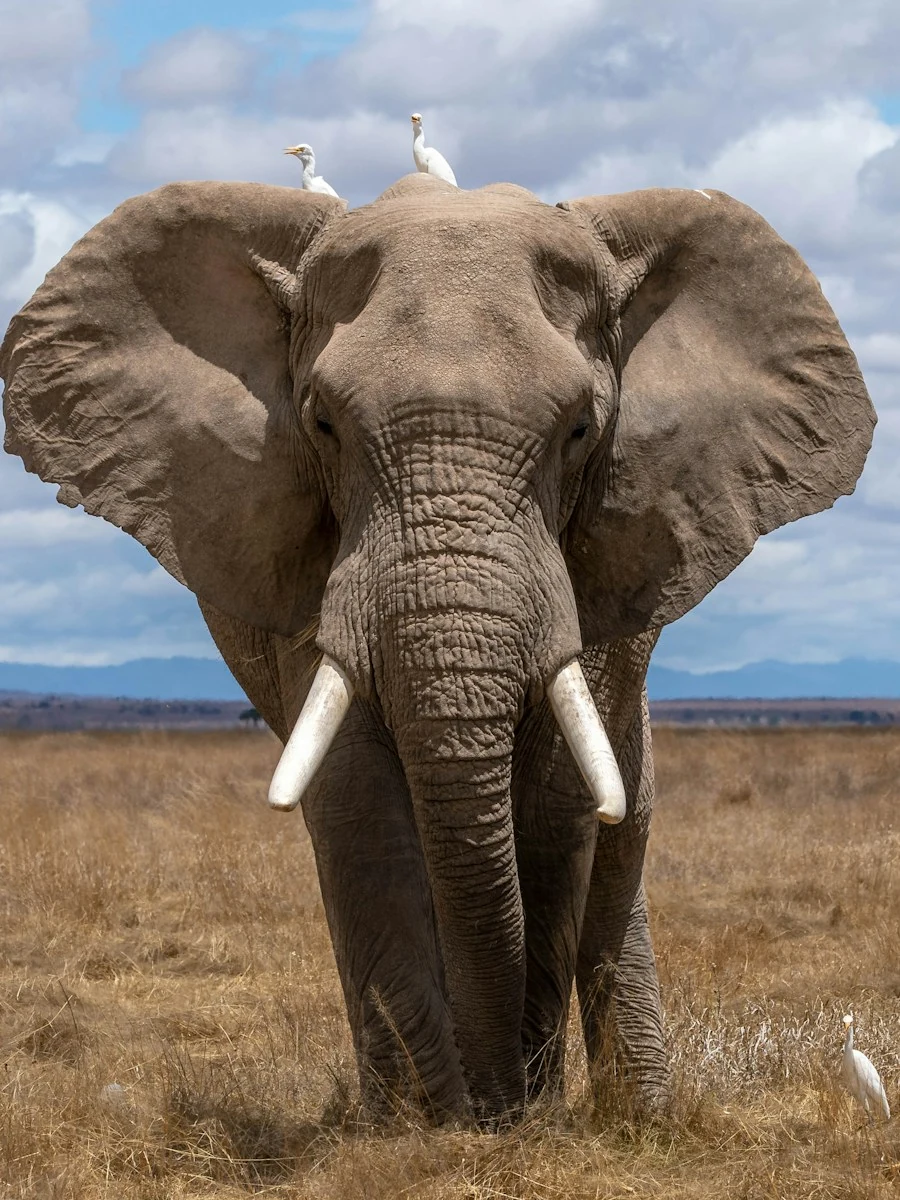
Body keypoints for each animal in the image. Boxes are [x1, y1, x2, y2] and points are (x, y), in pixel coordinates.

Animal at [0, 173, 874, 1125]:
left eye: (580, 430)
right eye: (322, 425)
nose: (499, 1106)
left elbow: (559, 805)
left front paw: (519, 1116)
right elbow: (358, 801)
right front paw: (425, 1128)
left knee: (621, 831)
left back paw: (639, 1115)